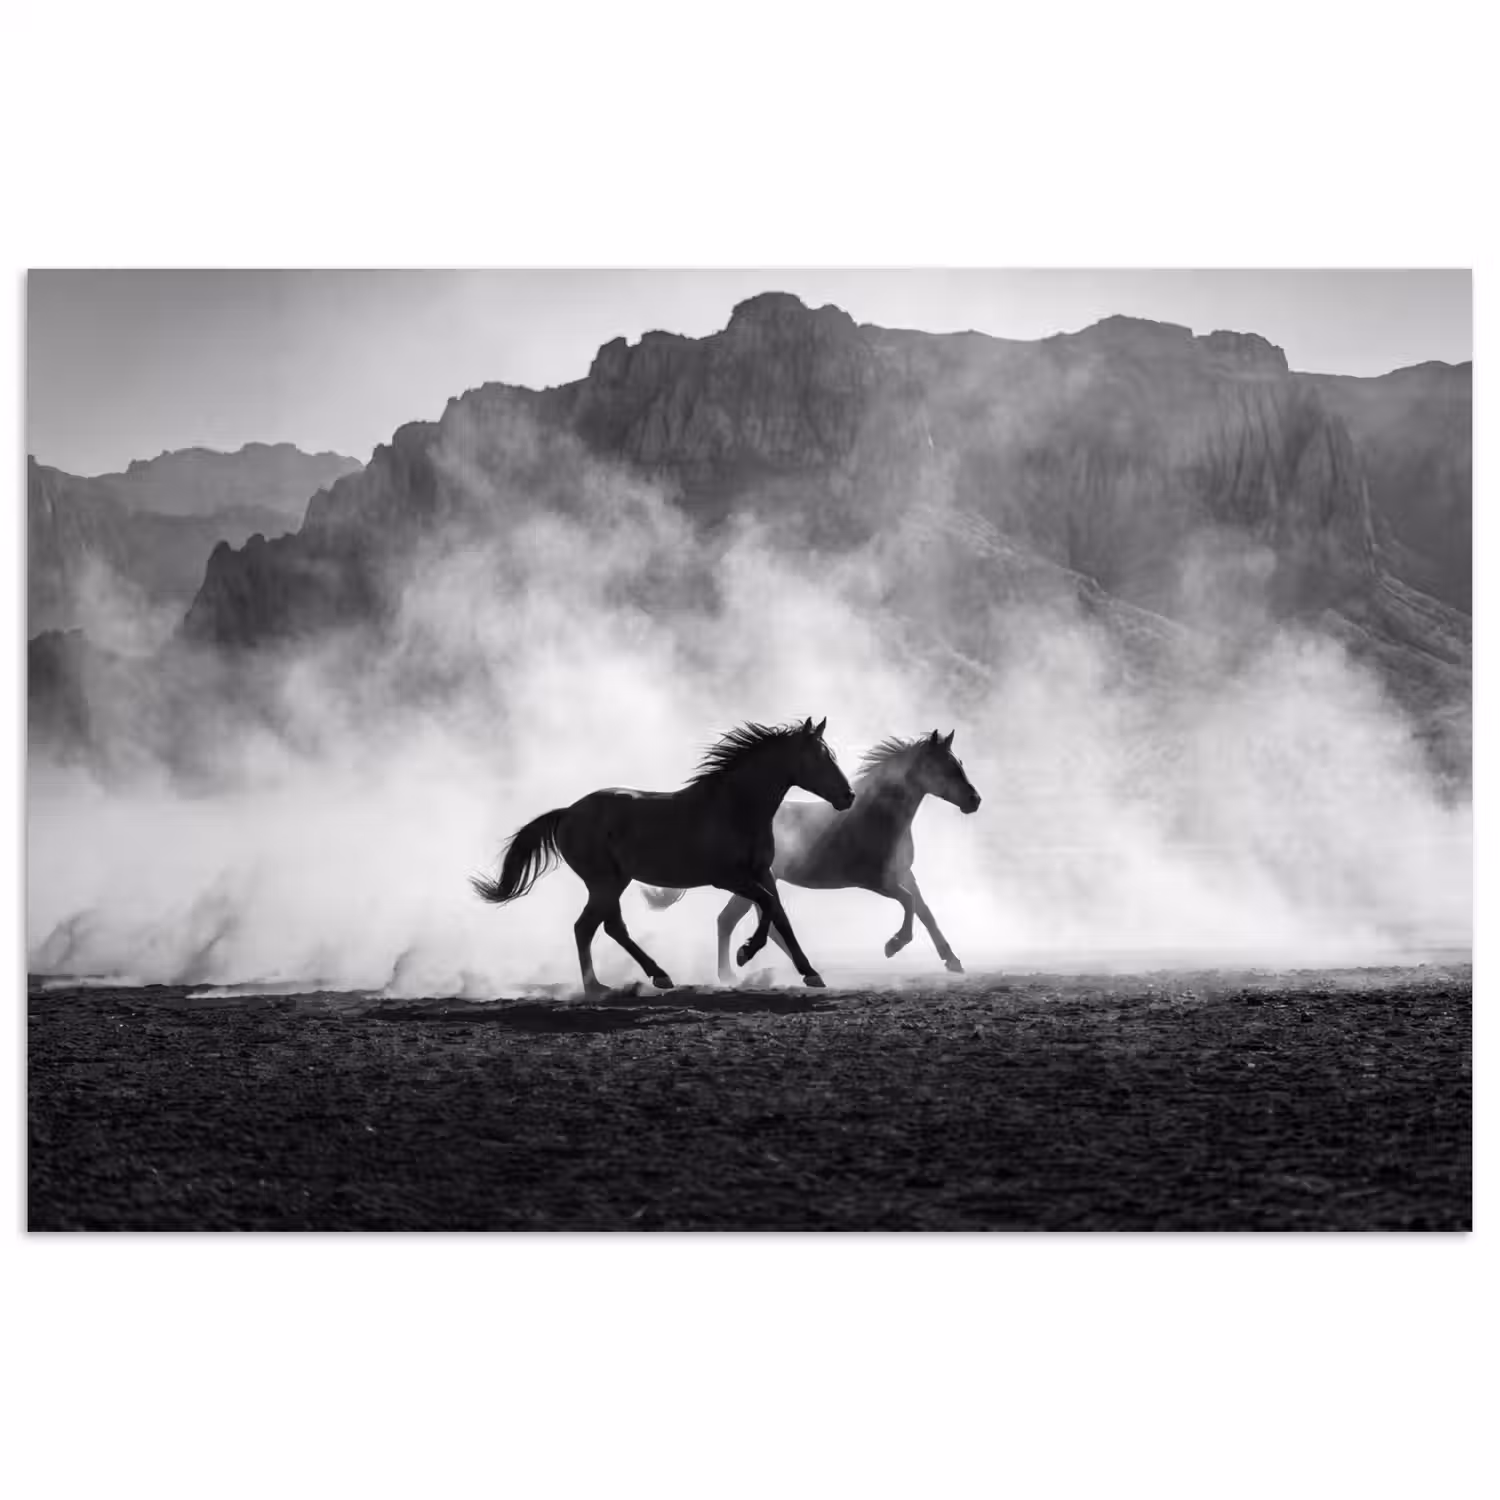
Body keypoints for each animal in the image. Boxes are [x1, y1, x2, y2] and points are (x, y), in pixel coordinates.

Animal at [470, 718, 855, 994]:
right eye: (820, 758)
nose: (848, 796)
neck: (736, 807)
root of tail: (567, 812)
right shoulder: (728, 878)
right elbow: (768, 907)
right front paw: (746, 953)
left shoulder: (762, 873)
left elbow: (780, 916)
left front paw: (811, 973)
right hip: (604, 882)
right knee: (589, 927)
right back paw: (607, 985)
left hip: (614, 882)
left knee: (604, 927)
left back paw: (645, 977)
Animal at [645, 729, 980, 980]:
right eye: (946, 768)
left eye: (960, 763)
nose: (974, 800)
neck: (878, 817)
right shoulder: (874, 880)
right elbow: (909, 904)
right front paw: (893, 945)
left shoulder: (903, 874)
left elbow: (925, 912)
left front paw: (952, 960)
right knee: (734, 921)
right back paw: (736, 972)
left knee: (748, 921)